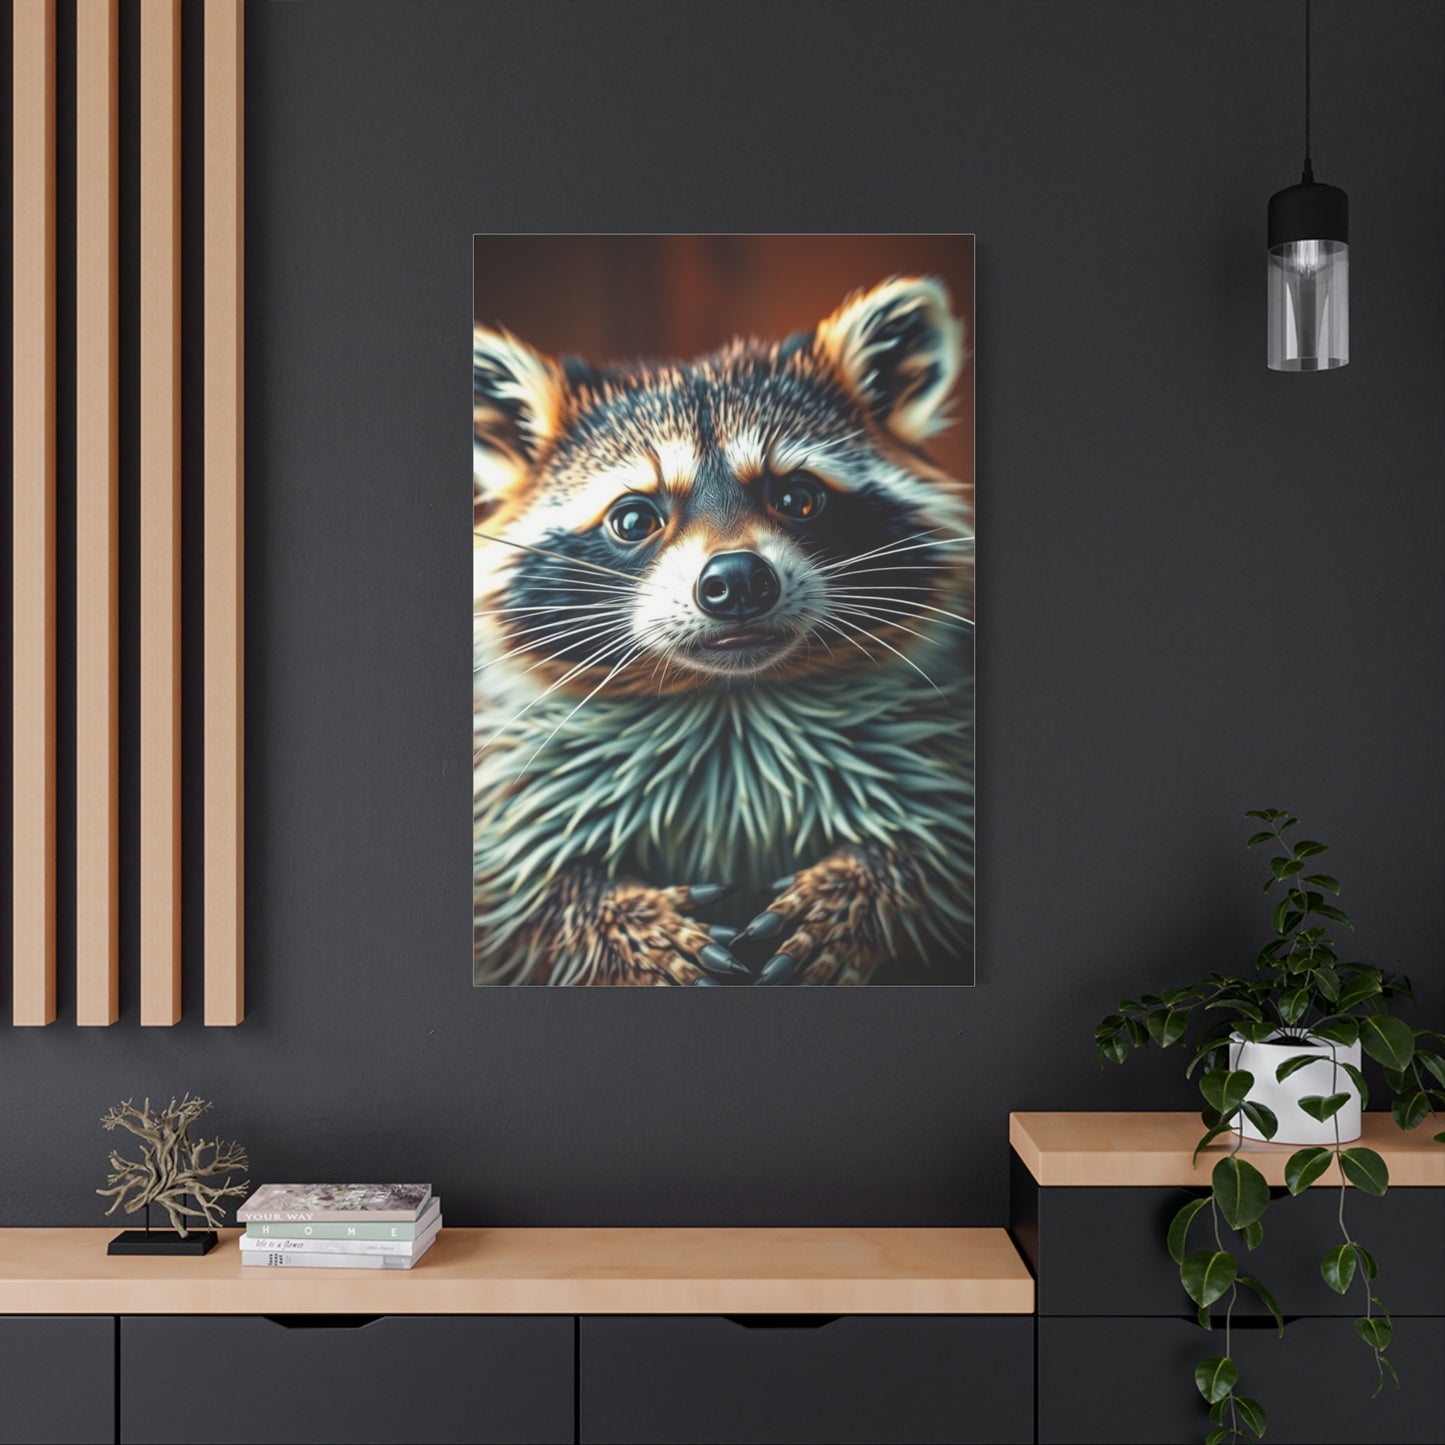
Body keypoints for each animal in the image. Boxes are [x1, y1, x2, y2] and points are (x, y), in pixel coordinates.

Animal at [473, 276, 973, 985]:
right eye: (634, 519)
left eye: (798, 498)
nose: (737, 581)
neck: (728, 697)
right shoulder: (515, 781)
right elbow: (523, 888)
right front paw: (621, 921)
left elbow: (936, 848)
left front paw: (863, 888)